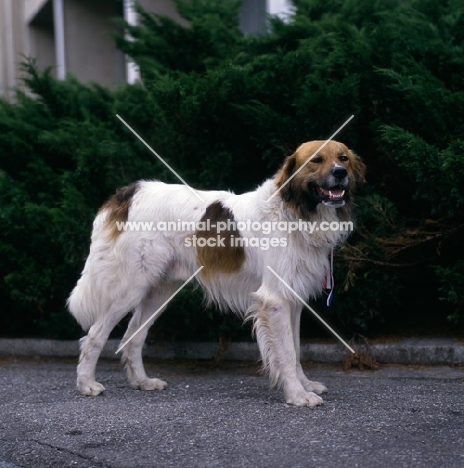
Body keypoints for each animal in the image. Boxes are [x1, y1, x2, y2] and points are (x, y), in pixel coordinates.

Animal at [68, 139, 366, 406]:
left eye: (343, 158)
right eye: (316, 160)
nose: (340, 173)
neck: (294, 211)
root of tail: (129, 193)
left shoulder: (292, 301)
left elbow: (295, 349)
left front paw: (304, 386)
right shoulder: (275, 301)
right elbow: (286, 353)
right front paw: (296, 395)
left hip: (159, 292)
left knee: (133, 336)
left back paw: (141, 381)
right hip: (129, 289)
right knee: (94, 336)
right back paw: (86, 384)